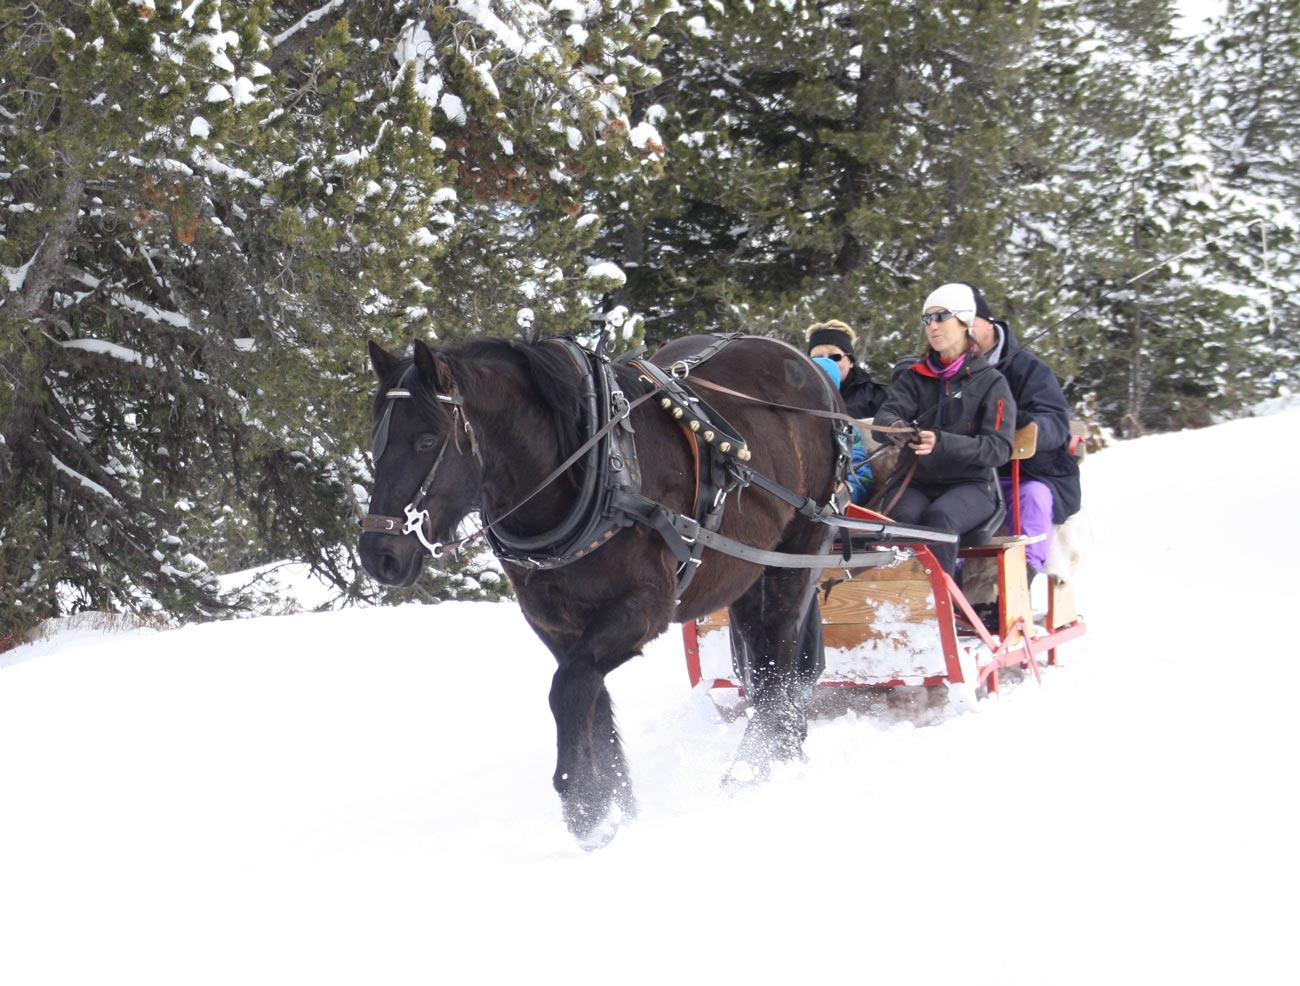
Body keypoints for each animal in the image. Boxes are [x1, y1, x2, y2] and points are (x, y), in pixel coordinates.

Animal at [356, 338, 842, 848]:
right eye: (377, 441)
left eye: (427, 441)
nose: (377, 555)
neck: (592, 471)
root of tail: (806, 363)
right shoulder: (556, 623)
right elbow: (593, 701)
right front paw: (617, 808)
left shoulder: (643, 607)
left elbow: (568, 688)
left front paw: (584, 806)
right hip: (747, 571)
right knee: (761, 653)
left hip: (797, 553)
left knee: (779, 654)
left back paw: (755, 766)